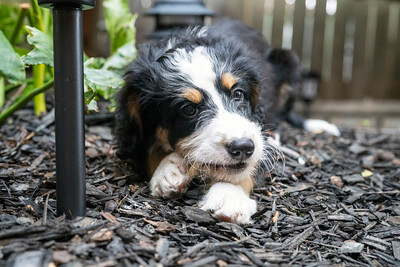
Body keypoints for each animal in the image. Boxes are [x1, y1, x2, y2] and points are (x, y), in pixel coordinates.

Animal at [114, 18, 340, 224]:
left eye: (238, 94)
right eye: (189, 110)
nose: (243, 147)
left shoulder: (257, 134)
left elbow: (247, 167)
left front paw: (229, 195)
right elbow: (147, 149)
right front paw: (168, 171)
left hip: (288, 60)